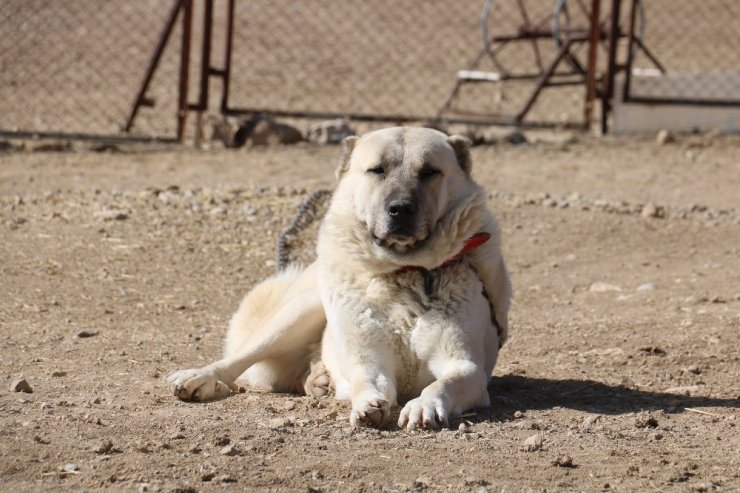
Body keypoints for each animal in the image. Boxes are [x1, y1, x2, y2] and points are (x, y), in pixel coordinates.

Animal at [170, 128, 512, 430]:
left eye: (429, 172)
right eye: (377, 170)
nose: (400, 209)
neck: (406, 271)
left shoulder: (465, 367)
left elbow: (443, 384)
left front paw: (423, 406)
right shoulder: (368, 359)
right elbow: (364, 379)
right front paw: (367, 404)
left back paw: (318, 379)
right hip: (297, 316)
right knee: (238, 360)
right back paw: (199, 378)